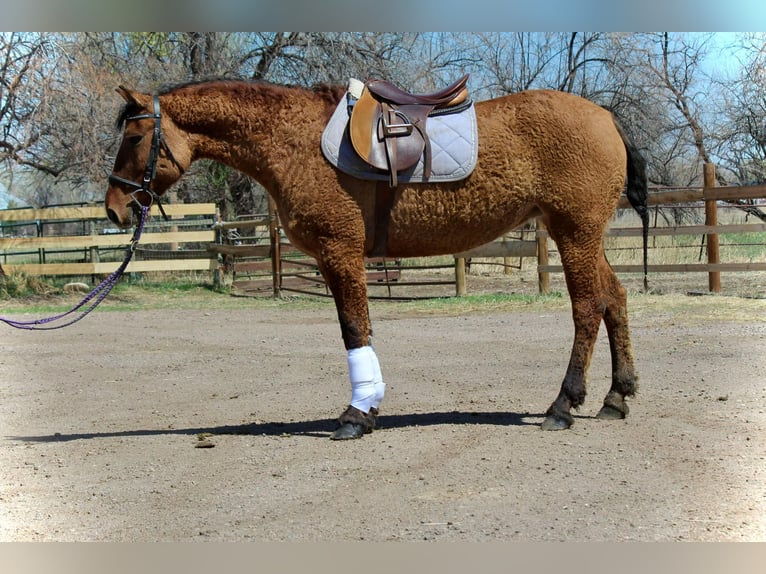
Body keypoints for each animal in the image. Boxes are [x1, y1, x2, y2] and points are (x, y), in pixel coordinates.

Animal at [105, 78, 649, 439]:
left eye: (134, 138)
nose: (113, 208)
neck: (294, 140)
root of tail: (605, 117)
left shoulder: (339, 251)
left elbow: (354, 329)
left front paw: (357, 414)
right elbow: (358, 329)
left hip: (573, 233)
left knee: (587, 308)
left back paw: (563, 405)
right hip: (583, 236)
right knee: (616, 298)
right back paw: (616, 397)